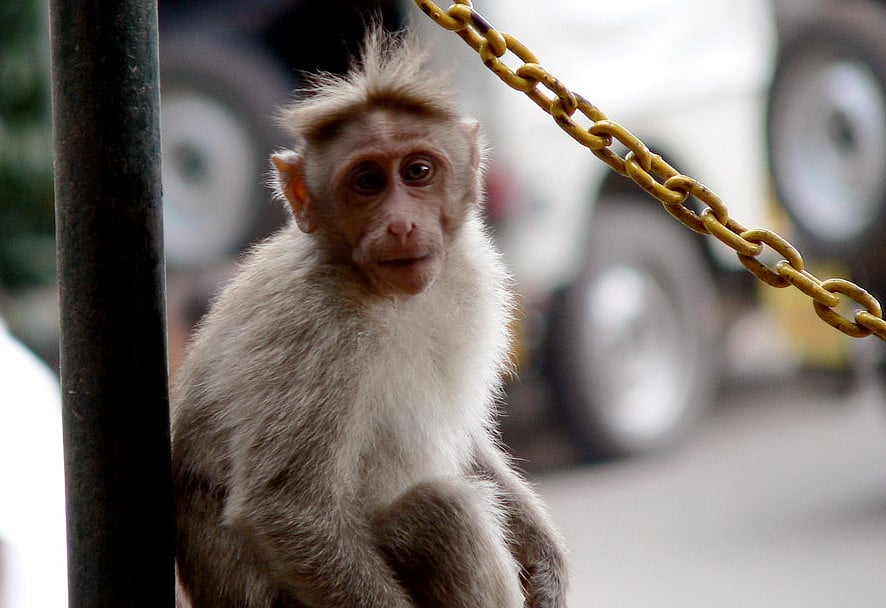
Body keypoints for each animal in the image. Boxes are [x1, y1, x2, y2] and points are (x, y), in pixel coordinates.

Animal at [171, 26, 569, 608]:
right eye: (366, 182)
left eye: (418, 172)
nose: (402, 224)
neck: (384, 292)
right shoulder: (314, 329)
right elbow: (285, 507)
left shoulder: (469, 277)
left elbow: (465, 443)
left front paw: (546, 561)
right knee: (442, 515)